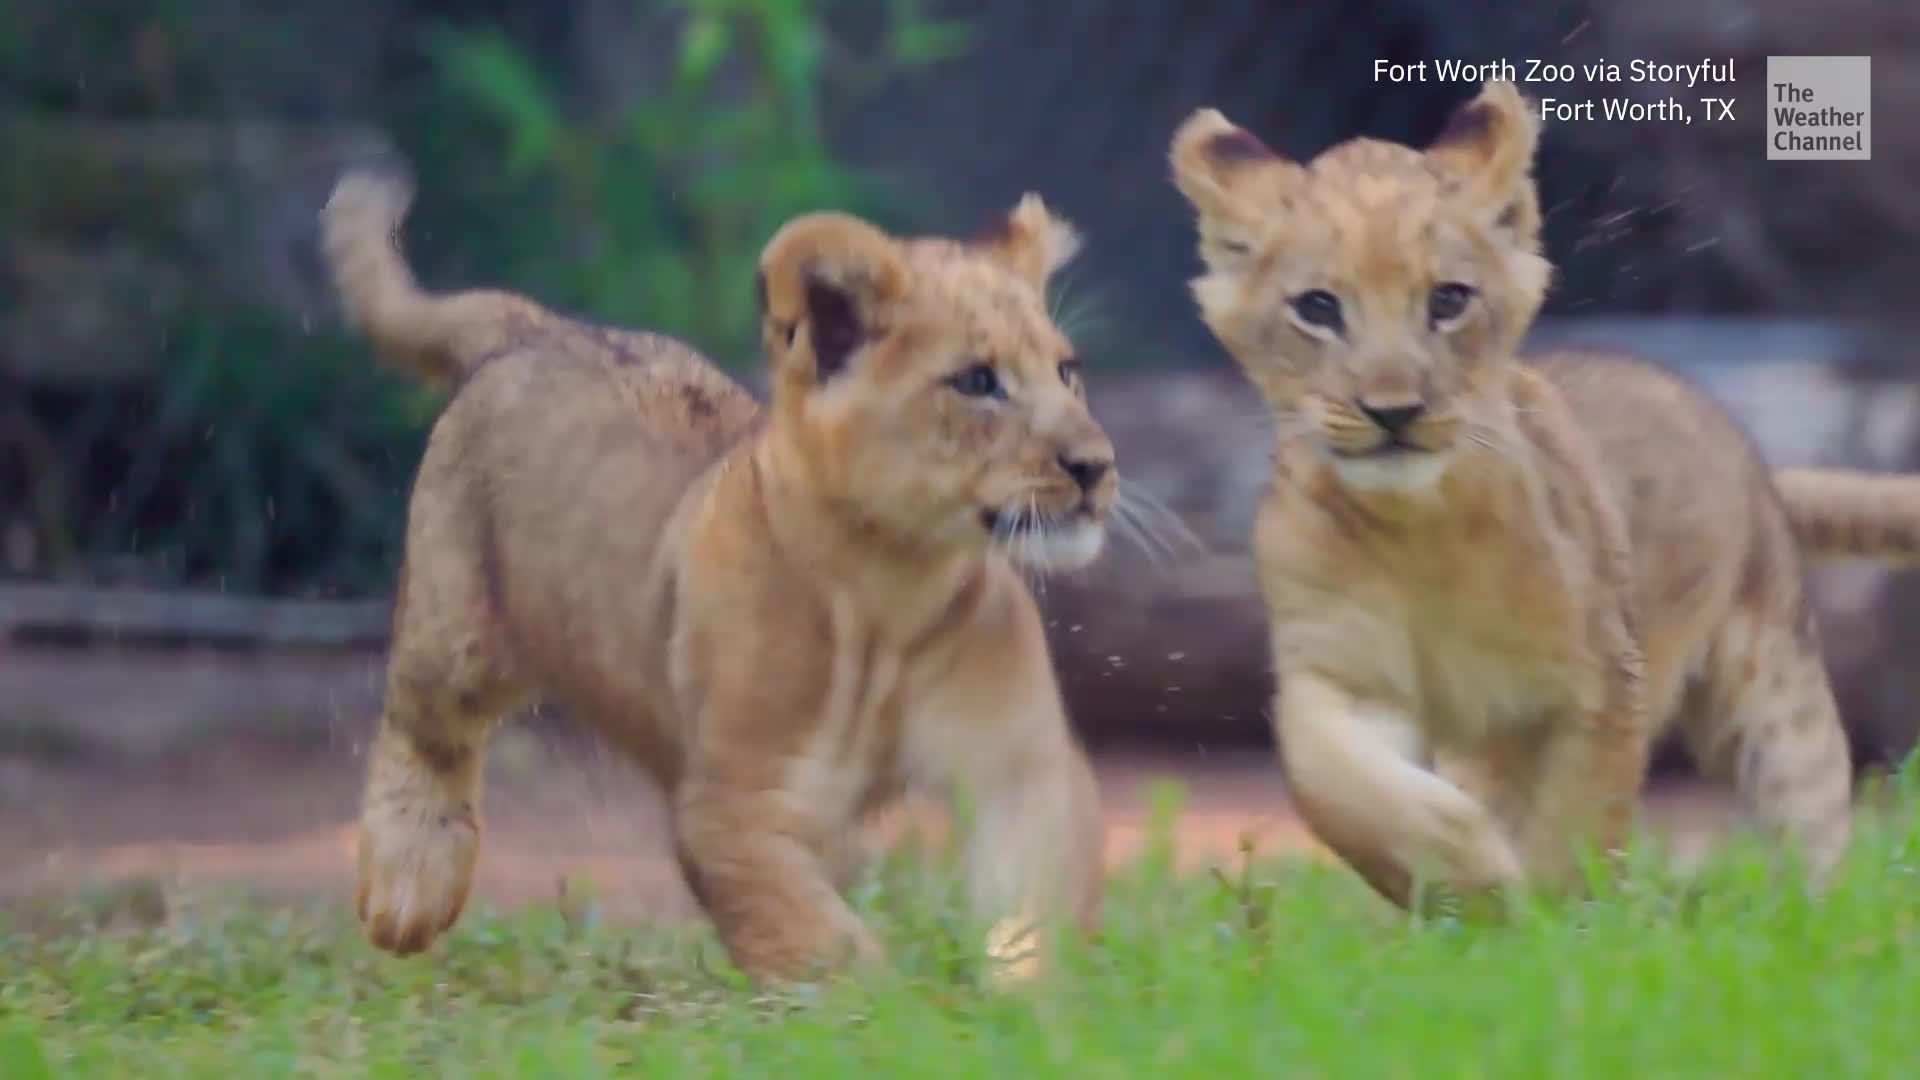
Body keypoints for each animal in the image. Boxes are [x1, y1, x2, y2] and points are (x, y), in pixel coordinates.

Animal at [319, 166, 1115, 983]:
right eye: (978, 381)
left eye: (1067, 372)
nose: (1095, 466)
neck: (893, 587)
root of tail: (537, 326)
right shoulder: (732, 806)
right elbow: (814, 937)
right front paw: (887, 999)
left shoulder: (1022, 767)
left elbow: (1037, 894)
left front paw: (1026, 992)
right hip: (458, 629)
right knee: (423, 727)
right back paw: (410, 883)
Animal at [1166, 78, 1920, 908]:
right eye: (1318, 307)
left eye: (1448, 300)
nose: (1393, 410)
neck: (1413, 534)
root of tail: (1753, 461)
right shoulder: (1341, 671)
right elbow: (1338, 789)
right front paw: (1466, 876)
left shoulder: (1599, 678)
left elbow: (1577, 822)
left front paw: (1554, 917)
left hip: (1772, 691)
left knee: (1809, 814)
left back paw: (1804, 914)